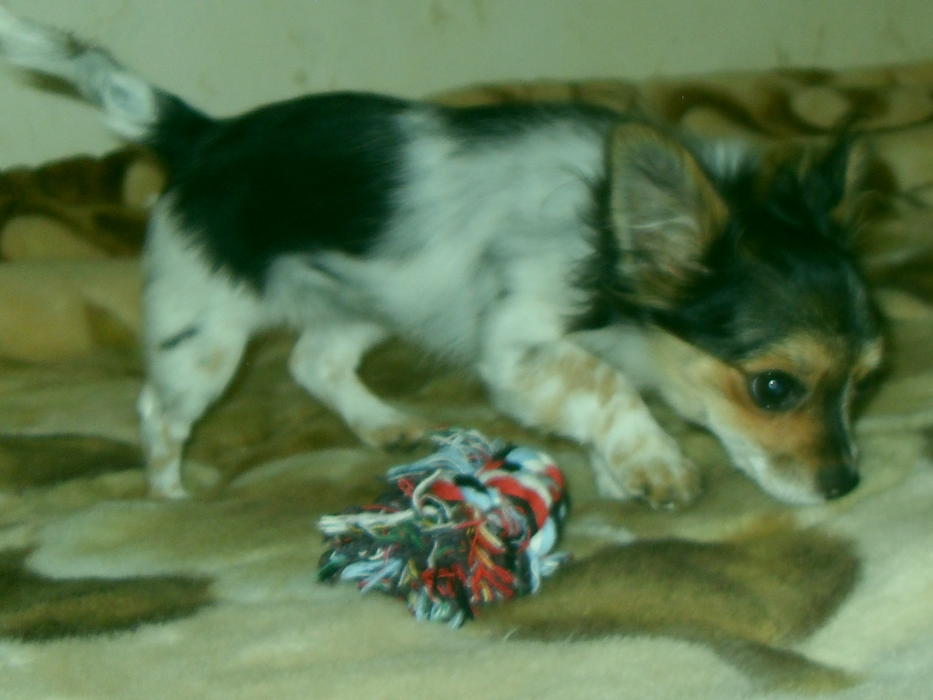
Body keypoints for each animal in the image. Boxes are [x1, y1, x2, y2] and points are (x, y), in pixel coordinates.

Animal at [0, 8, 884, 507]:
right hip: (204, 338)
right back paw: (170, 492)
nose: (846, 487)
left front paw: (614, 469)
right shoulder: (520, 349)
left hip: (366, 302)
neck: (600, 242)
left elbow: (600, 394)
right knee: (160, 412)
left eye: (866, 383)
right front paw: (651, 462)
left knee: (313, 363)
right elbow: (606, 386)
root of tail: (202, 133)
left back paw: (383, 424)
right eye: (774, 388)